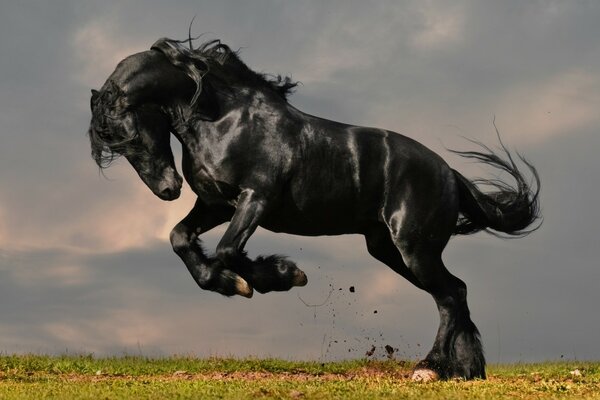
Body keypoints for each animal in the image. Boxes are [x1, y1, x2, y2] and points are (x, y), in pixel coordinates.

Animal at [88, 38, 540, 382]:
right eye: (114, 145)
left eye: (130, 135)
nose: (167, 190)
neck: (224, 119)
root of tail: (449, 174)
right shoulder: (215, 203)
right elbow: (181, 239)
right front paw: (231, 283)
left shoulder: (256, 199)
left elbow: (228, 250)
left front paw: (280, 276)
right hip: (389, 250)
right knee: (456, 292)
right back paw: (464, 370)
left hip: (415, 249)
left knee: (449, 295)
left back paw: (429, 368)